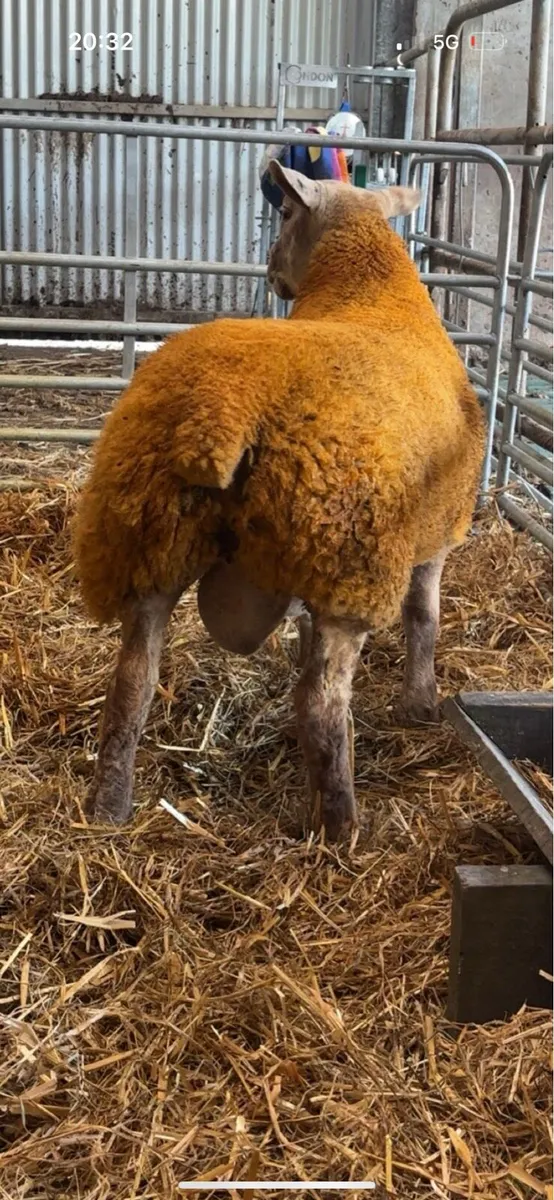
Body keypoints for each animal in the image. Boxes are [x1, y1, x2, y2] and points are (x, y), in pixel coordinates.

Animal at [73, 161, 485, 840]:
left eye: (286, 214)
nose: (270, 271)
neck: (370, 291)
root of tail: (225, 409)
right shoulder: (437, 537)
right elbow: (424, 619)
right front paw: (421, 704)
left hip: (147, 541)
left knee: (132, 684)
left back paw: (109, 808)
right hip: (348, 563)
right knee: (320, 704)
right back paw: (342, 830)